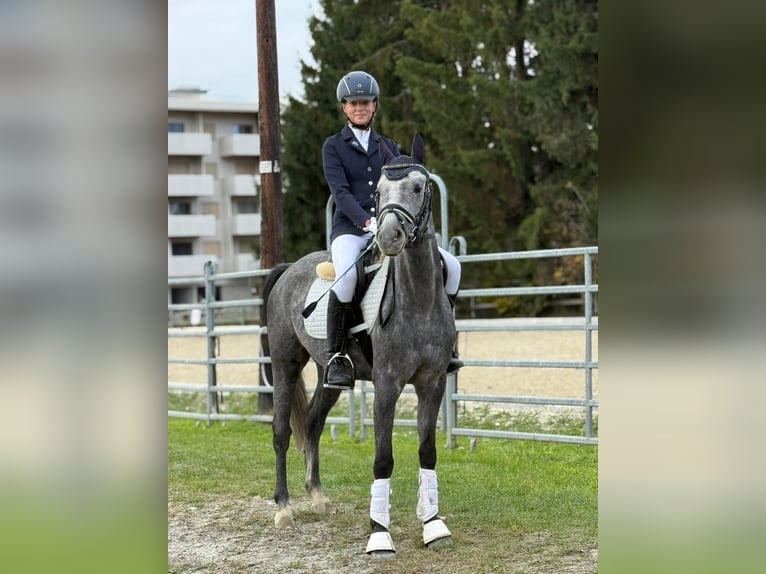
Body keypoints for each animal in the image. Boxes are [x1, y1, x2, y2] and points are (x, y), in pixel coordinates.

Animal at [261, 133, 454, 557]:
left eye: (419, 187)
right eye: (378, 192)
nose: (387, 237)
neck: (417, 301)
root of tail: (289, 269)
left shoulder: (433, 383)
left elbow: (428, 452)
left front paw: (433, 524)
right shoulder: (387, 385)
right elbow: (383, 459)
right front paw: (379, 534)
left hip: (329, 374)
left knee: (313, 423)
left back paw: (318, 497)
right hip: (285, 364)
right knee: (282, 432)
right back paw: (283, 510)